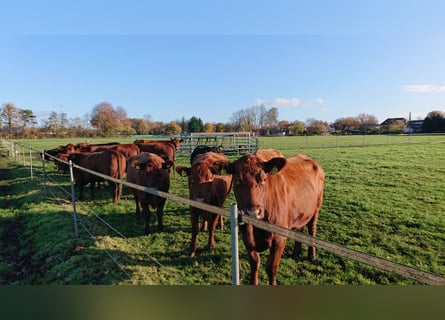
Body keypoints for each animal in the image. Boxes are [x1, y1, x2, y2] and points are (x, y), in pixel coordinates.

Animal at [218, 152, 324, 284]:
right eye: (237, 180)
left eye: (264, 180)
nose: (253, 212)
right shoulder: (246, 237)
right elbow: (254, 263)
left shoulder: (279, 238)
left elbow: (271, 267)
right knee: (299, 229)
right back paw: (296, 252)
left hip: (316, 207)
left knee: (312, 229)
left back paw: (312, 255)